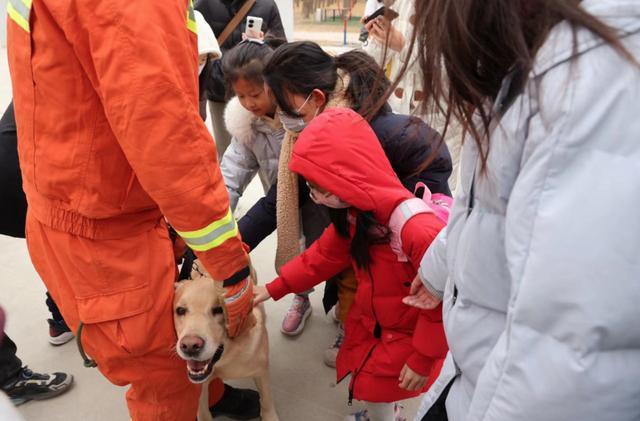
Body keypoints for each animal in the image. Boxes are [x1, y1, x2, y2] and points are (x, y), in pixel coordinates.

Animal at [172, 262, 278, 420]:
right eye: (180, 310)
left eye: (219, 310)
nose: (190, 346)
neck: (227, 358)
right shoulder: (200, 390)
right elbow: (203, 413)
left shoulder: (262, 372)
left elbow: (266, 400)